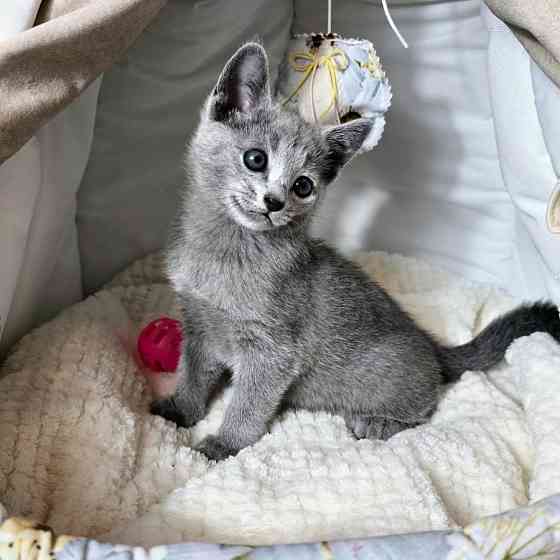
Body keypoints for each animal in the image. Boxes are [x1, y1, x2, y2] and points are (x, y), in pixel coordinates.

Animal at [151, 43, 560, 462]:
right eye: (255, 159)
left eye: (303, 186)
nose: (274, 202)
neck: (225, 250)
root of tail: (429, 343)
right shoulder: (198, 325)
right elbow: (193, 373)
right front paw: (180, 409)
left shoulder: (272, 351)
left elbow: (249, 403)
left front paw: (224, 443)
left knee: (427, 406)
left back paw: (376, 422)